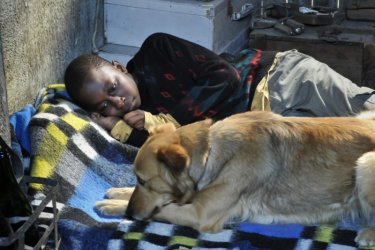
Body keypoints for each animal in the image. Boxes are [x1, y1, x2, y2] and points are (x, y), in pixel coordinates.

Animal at [96, 112, 375, 248]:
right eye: (137, 180)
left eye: (144, 181)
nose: (130, 213)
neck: (210, 152)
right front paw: (118, 193)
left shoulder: (200, 214)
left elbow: (162, 209)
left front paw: (113, 206)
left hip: (365, 163)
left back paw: (367, 234)